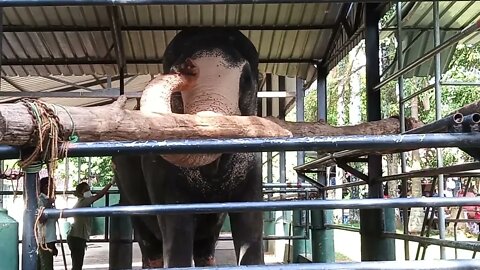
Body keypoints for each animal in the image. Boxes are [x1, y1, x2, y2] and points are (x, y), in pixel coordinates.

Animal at [110, 29, 264, 268]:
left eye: (246, 78)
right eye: (174, 69)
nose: (188, 67)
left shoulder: (253, 166)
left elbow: (250, 222)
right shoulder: (161, 173)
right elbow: (176, 224)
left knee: (205, 246)